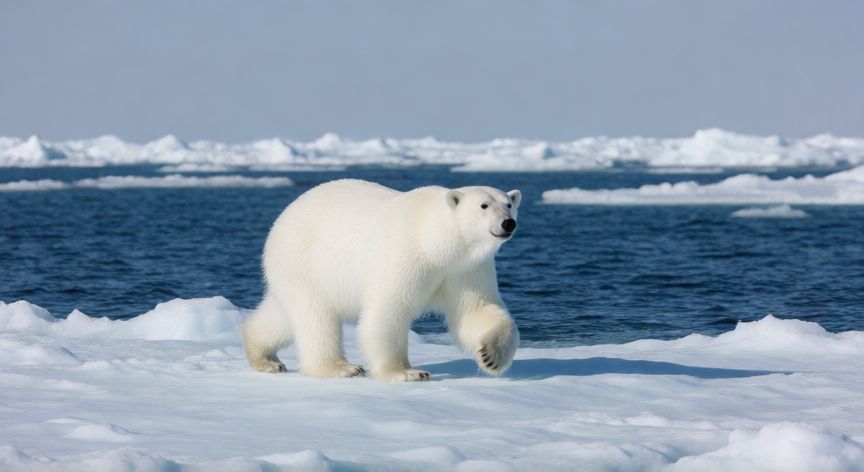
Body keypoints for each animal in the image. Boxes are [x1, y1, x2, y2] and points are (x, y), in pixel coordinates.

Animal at [241, 179, 521, 382]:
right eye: (484, 206)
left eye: (508, 204)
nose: (508, 223)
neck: (434, 241)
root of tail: (281, 220)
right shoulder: (406, 253)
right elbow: (389, 309)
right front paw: (406, 372)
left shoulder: (463, 268)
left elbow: (475, 309)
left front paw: (491, 356)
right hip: (306, 262)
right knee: (316, 318)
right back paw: (341, 367)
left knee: (282, 315)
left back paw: (264, 357)